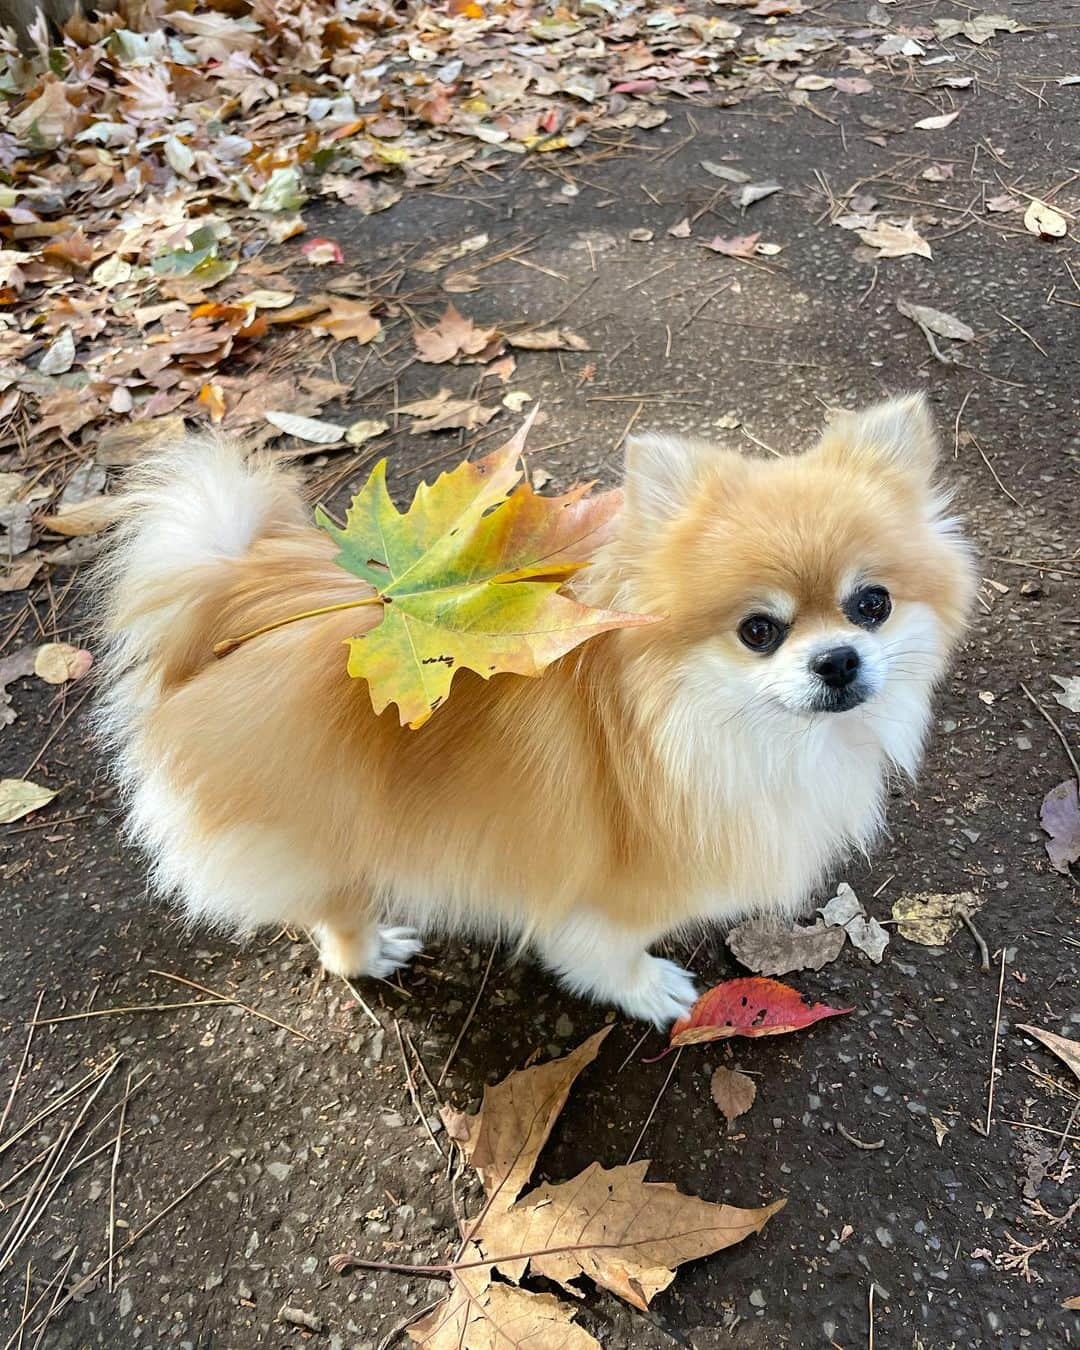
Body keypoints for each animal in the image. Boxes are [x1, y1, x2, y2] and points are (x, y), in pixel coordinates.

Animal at [101, 394, 972, 1026]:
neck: (695, 722)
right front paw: (648, 990)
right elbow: (603, 955)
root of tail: (235, 601)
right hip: (324, 832)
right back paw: (370, 949)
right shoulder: (606, 898)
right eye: (759, 630)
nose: (838, 660)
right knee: (334, 920)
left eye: (871, 605)